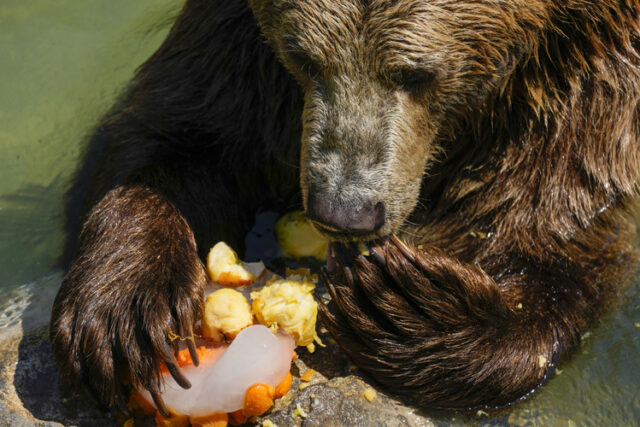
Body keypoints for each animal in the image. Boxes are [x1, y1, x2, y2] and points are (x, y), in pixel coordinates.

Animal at [48, 0, 640, 418]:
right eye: (304, 57)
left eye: (418, 73)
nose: (346, 210)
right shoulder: (240, 56)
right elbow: (173, 138)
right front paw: (128, 311)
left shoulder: (583, 80)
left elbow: (550, 225)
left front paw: (408, 304)